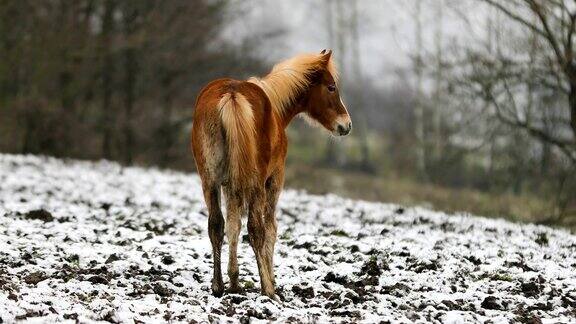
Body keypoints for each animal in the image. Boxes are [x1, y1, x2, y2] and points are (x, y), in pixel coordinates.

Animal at [191, 48, 352, 298]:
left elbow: (233, 226)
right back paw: (268, 290)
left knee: (216, 225)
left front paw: (234, 281)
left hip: (210, 182)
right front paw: (271, 281)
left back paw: (218, 286)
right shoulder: (274, 180)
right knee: (256, 228)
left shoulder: (229, 185)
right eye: (331, 87)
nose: (346, 125)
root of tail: (231, 95)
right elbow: (270, 229)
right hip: (257, 183)